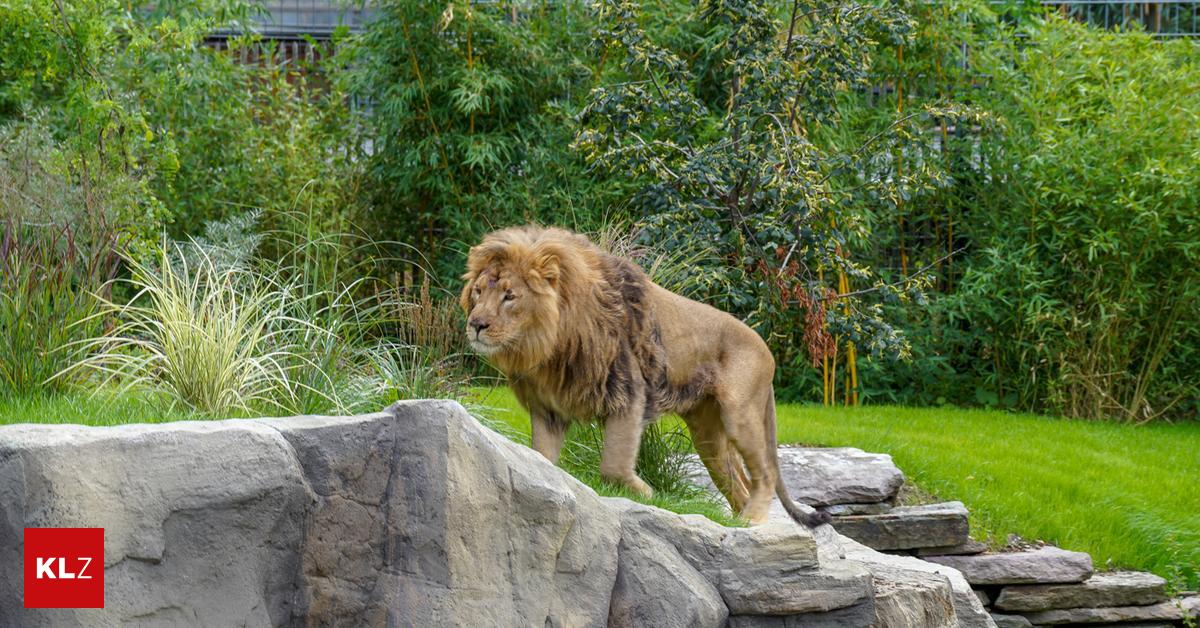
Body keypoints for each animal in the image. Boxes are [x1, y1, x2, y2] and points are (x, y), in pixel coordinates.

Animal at [460, 225, 831, 527]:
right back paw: (737, 524)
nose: (476, 324)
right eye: (478, 292)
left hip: (740, 414)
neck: (548, 347)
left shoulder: (628, 393)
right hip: (708, 434)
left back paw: (753, 520)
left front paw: (646, 494)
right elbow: (542, 458)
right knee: (738, 484)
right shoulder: (548, 409)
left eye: (510, 296)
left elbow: (614, 464)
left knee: (764, 473)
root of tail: (766, 348)